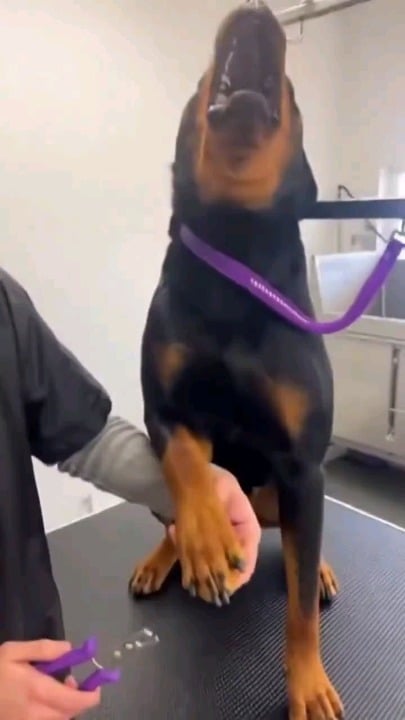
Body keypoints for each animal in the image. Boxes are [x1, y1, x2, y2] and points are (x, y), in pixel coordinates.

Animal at [129, 3, 343, 719]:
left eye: (293, 88)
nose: (256, 12)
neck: (234, 239)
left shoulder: (303, 464)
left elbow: (299, 606)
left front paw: (308, 685)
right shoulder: (165, 409)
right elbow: (188, 462)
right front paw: (205, 542)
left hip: (289, 493)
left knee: (305, 547)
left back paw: (322, 568)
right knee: (168, 513)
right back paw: (162, 558)